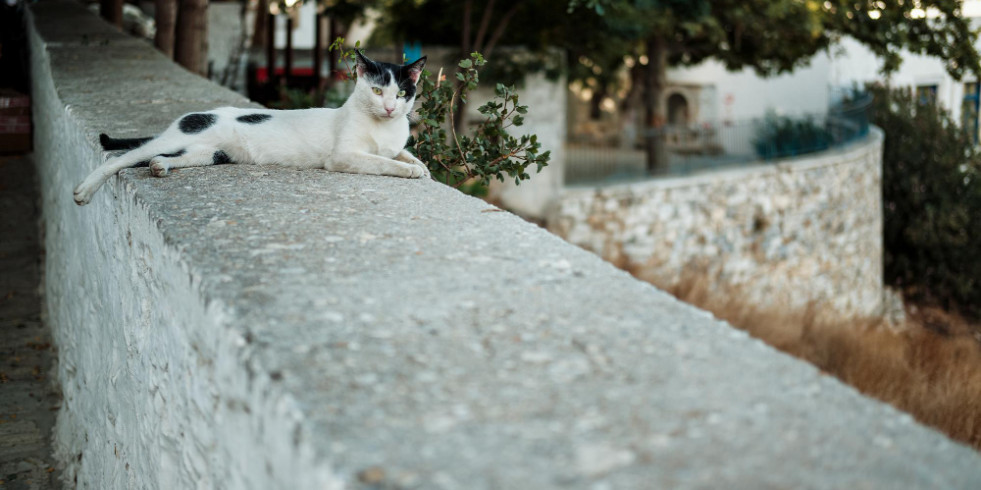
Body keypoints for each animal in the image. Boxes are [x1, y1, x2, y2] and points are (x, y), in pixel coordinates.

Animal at [74, 51, 426, 207]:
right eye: (377, 91)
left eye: (402, 93)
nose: (390, 108)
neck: (383, 128)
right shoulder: (342, 156)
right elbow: (382, 161)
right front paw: (410, 171)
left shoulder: (395, 144)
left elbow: (402, 153)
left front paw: (421, 167)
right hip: (181, 137)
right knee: (124, 158)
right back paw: (84, 190)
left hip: (212, 153)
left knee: (163, 157)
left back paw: (160, 166)